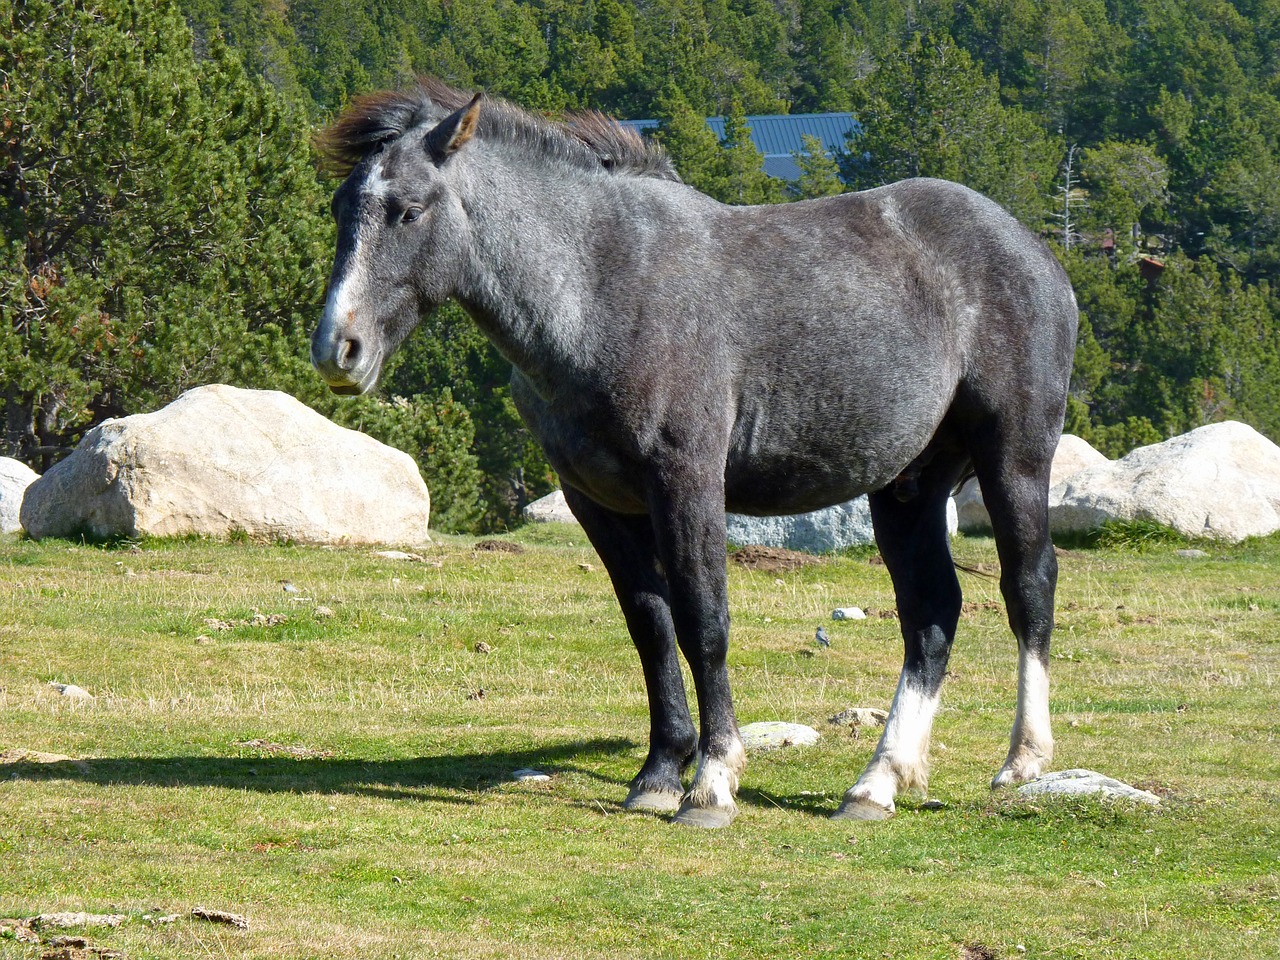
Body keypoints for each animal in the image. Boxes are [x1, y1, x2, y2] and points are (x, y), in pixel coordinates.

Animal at [312, 82, 1080, 829]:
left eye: (408, 211)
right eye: (342, 207)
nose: (337, 349)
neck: (603, 287)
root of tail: (1034, 252)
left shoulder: (686, 482)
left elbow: (703, 622)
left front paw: (711, 783)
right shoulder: (598, 501)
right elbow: (651, 627)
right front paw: (658, 773)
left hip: (1013, 456)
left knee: (1028, 585)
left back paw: (1022, 759)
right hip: (907, 485)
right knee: (931, 610)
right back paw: (876, 783)